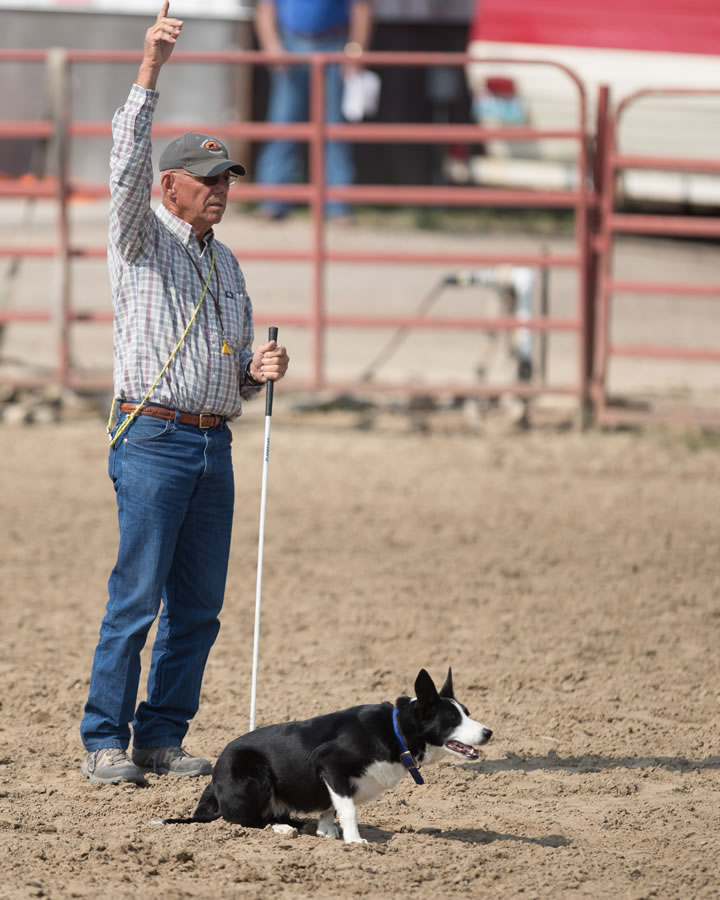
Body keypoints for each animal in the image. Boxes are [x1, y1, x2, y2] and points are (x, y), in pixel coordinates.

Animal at [157, 668, 492, 844]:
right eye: (452, 719)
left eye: (467, 713)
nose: (488, 732)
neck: (395, 730)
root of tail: (214, 782)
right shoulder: (332, 764)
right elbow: (349, 809)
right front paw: (355, 841)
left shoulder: (332, 780)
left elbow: (331, 806)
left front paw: (326, 829)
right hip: (254, 777)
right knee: (244, 821)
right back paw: (281, 828)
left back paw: (295, 823)